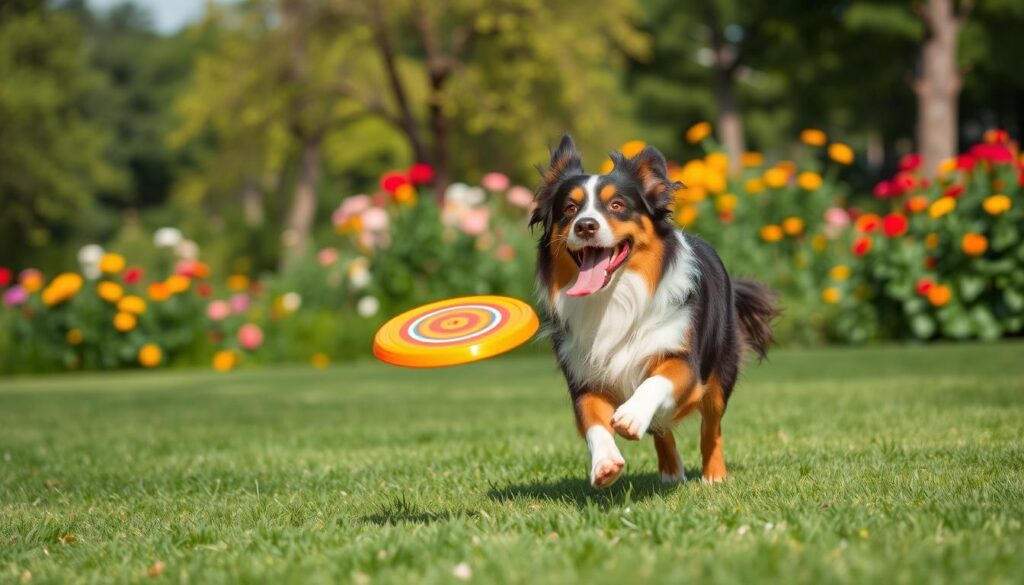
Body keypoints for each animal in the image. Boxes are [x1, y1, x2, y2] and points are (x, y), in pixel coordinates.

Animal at [532, 135, 778, 487]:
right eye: (570, 208)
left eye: (616, 205)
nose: (586, 226)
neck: (614, 298)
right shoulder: (583, 376)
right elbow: (593, 421)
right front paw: (605, 463)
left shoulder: (685, 360)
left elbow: (657, 380)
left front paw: (632, 414)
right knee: (662, 430)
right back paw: (671, 472)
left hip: (721, 369)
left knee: (711, 426)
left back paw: (714, 475)